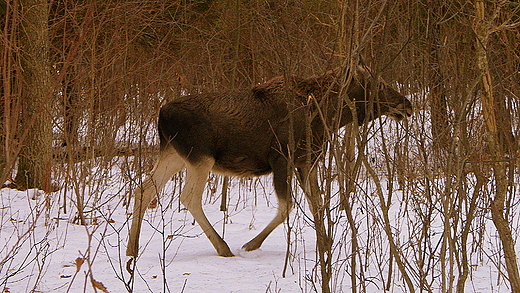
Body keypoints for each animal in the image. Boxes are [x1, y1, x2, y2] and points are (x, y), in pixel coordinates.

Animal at [128, 65, 412, 256]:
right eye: (378, 84)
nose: (407, 105)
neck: (328, 117)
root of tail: (161, 115)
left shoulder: (307, 161)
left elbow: (317, 203)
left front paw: (325, 243)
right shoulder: (280, 158)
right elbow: (287, 207)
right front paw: (252, 244)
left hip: (175, 155)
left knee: (143, 188)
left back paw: (132, 248)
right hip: (200, 157)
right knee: (188, 197)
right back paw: (223, 246)